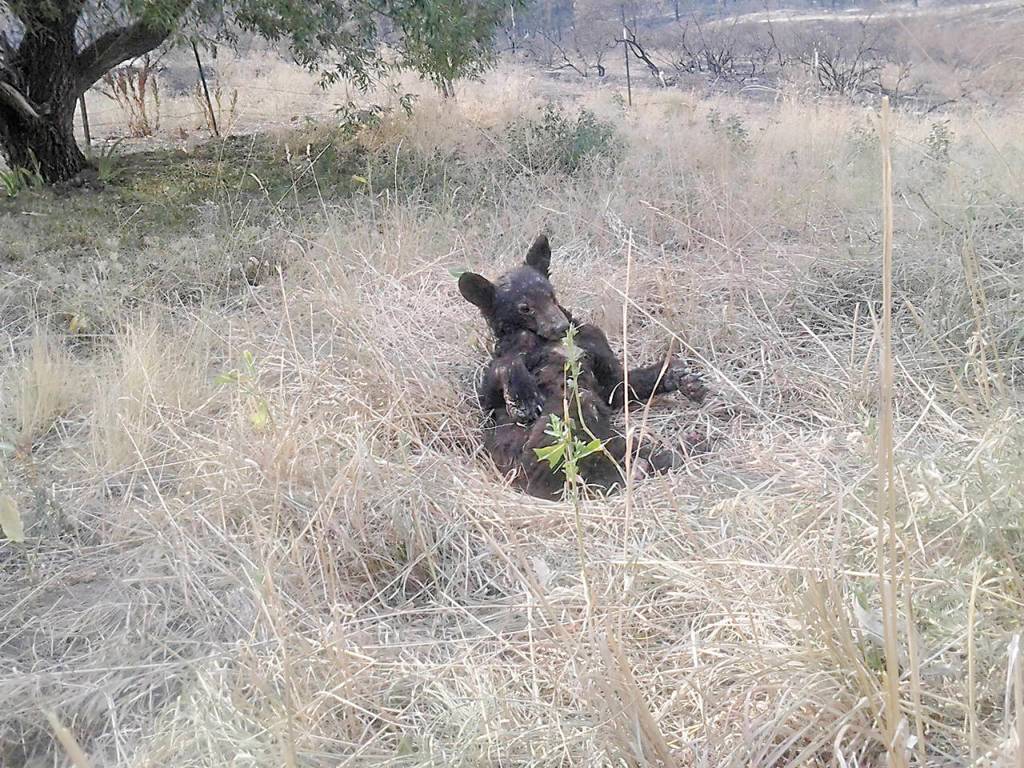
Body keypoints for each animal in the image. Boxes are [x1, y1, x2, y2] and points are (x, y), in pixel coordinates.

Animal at [459, 234, 707, 500]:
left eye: (551, 295)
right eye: (524, 307)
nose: (561, 326)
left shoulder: (597, 347)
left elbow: (622, 384)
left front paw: (681, 378)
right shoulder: (491, 396)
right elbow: (504, 368)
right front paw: (523, 398)